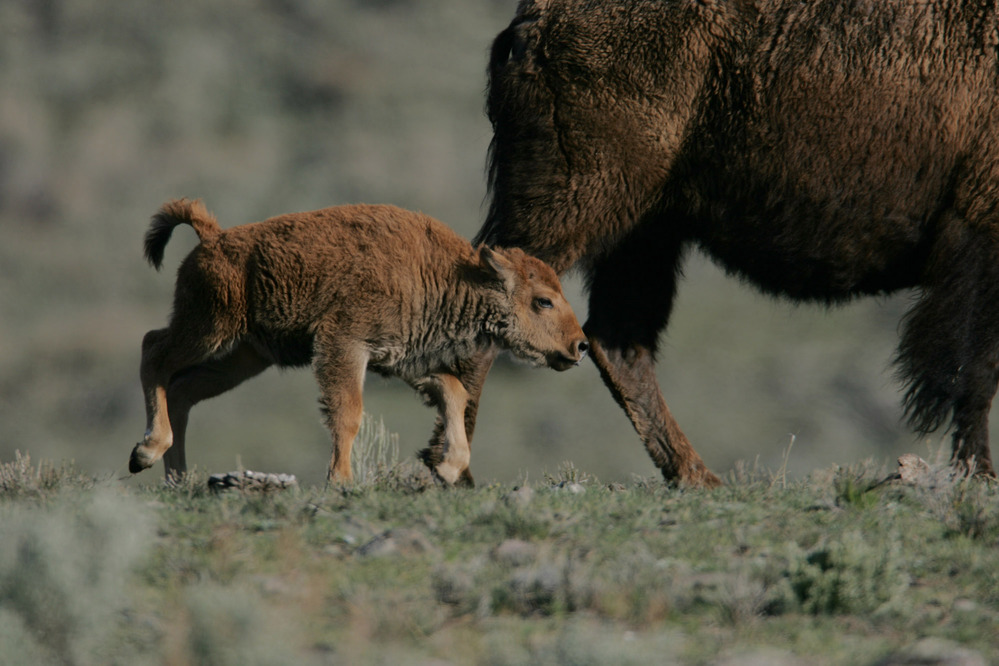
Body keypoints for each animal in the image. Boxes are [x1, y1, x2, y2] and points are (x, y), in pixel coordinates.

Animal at [129, 199, 587, 485]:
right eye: (543, 301)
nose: (580, 346)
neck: (449, 274)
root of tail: (213, 237)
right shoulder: (345, 346)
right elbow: (348, 413)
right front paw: (341, 481)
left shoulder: (405, 361)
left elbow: (454, 392)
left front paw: (448, 468)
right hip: (210, 329)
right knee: (153, 350)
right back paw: (146, 452)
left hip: (242, 357)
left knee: (183, 391)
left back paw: (176, 478)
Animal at [463, 0, 999, 487]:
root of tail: (537, 19)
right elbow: (972, 371)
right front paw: (979, 475)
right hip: (578, 207)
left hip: (644, 231)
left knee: (617, 341)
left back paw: (699, 476)